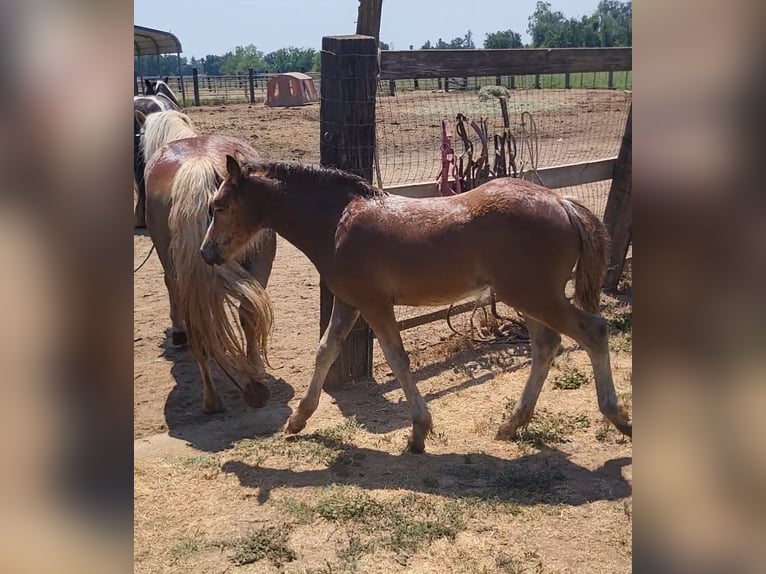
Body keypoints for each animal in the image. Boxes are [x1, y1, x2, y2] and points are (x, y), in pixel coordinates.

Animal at [139, 109, 280, 414]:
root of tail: (200, 164)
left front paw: (177, 333)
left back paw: (215, 397)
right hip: (259, 262)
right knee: (248, 314)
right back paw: (253, 384)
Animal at [201, 158, 632, 454]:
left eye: (219, 206)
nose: (207, 254)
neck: (337, 221)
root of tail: (561, 202)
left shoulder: (374, 304)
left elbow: (397, 358)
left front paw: (419, 432)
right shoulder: (348, 301)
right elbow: (326, 350)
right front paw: (297, 419)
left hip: (534, 294)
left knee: (593, 331)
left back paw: (617, 417)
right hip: (527, 296)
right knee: (546, 345)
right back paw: (512, 425)